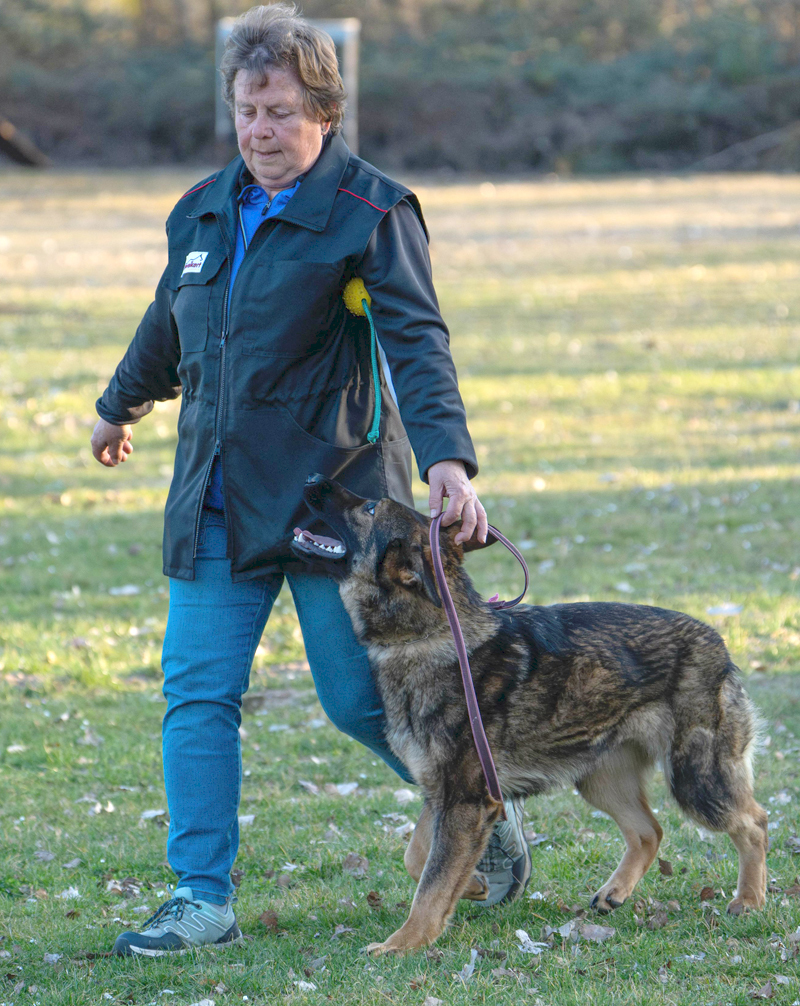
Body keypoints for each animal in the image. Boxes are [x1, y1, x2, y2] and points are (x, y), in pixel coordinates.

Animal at [291, 474, 768, 955]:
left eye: (370, 508)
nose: (312, 480)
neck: (426, 634)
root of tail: (717, 641)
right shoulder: (443, 793)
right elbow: (418, 857)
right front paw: (474, 885)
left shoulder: (464, 799)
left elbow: (431, 881)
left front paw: (404, 943)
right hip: (601, 780)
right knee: (649, 831)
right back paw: (615, 892)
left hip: (696, 780)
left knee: (755, 822)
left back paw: (749, 899)